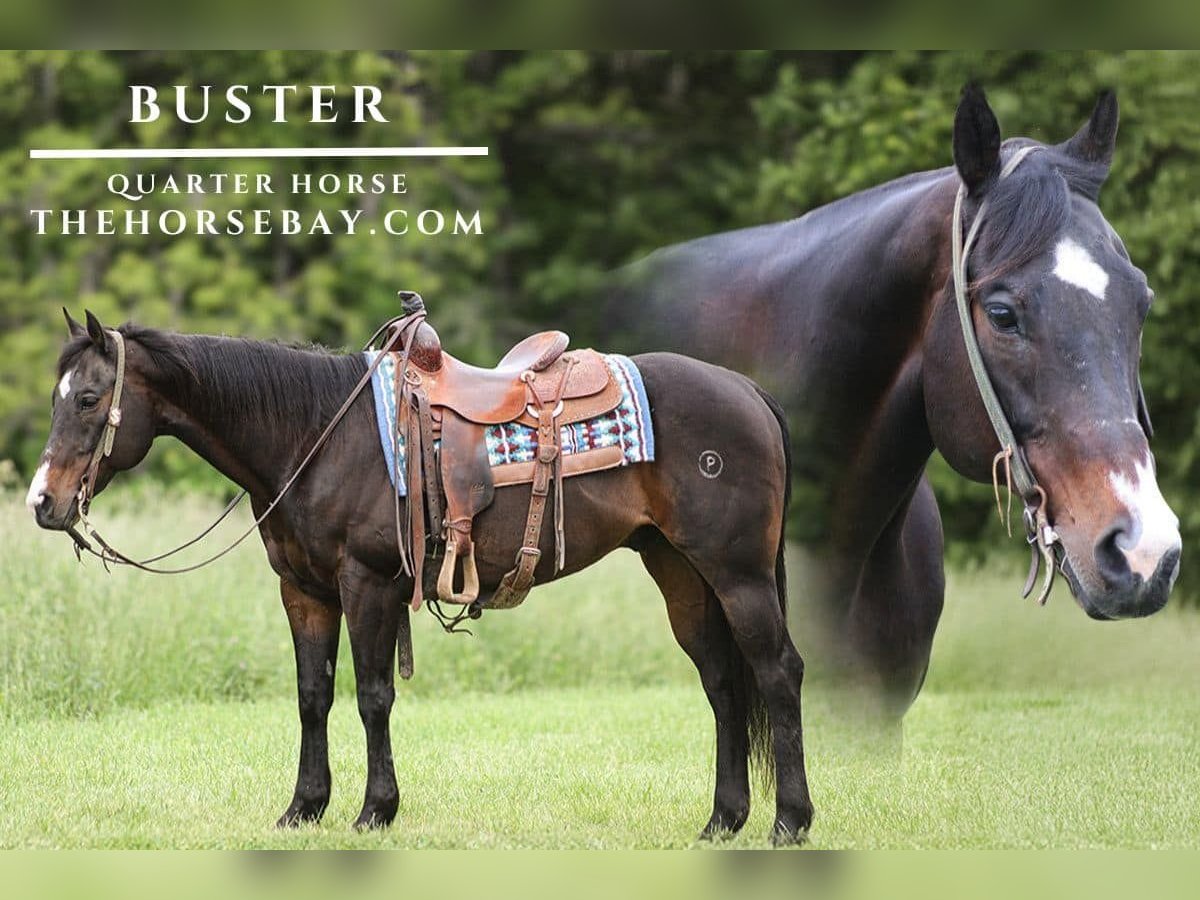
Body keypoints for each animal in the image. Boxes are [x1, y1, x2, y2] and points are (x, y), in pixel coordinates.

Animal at [26, 309, 813, 843]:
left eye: (89, 398)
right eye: (58, 395)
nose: (42, 501)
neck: (315, 436)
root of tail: (746, 391)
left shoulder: (368, 584)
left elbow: (372, 696)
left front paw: (376, 810)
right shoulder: (303, 591)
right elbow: (312, 696)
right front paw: (303, 807)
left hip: (738, 574)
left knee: (776, 673)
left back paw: (790, 822)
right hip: (679, 570)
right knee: (722, 682)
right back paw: (723, 821)